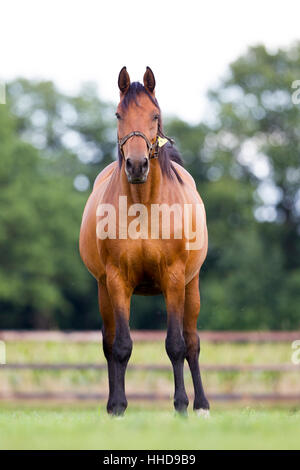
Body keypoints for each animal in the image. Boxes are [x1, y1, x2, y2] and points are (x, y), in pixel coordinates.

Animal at [80, 65, 211, 414]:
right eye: (118, 114)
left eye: (155, 115)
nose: (137, 165)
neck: (144, 207)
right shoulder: (116, 281)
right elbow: (121, 346)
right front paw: (118, 407)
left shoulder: (175, 280)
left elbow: (177, 345)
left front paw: (181, 405)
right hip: (103, 291)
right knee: (109, 342)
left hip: (192, 286)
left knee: (192, 342)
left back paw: (202, 405)